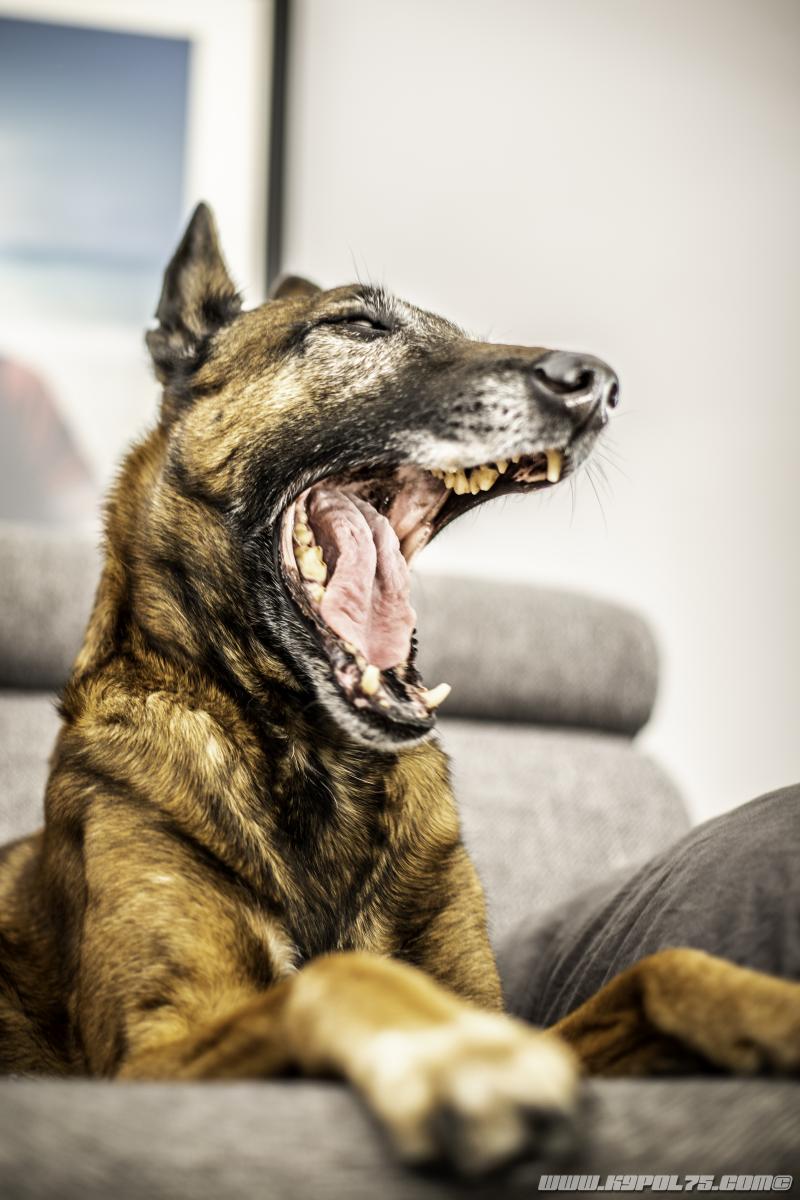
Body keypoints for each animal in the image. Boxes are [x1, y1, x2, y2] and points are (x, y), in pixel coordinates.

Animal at [1, 203, 798, 1176]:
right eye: (355, 324)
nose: (598, 383)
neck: (315, 764)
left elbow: (662, 968)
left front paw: (775, 1012)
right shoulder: (149, 1059)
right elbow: (339, 975)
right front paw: (448, 1052)